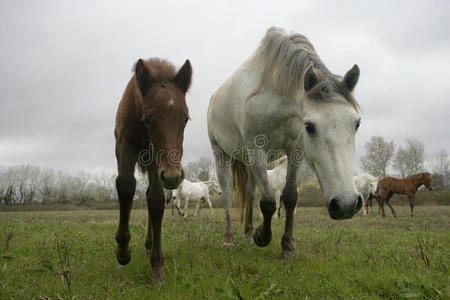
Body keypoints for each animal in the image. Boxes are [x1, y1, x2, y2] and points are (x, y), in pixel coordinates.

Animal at [114, 57, 192, 282]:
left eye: (186, 118)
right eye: (148, 118)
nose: (174, 177)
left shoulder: (158, 160)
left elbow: (156, 200)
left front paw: (157, 266)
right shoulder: (125, 145)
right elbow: (125, 187)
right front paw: (123, 251)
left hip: (152, 162)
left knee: (151, 193)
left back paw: (149, 245)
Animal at [208, 27, 362, 255]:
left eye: (357, 123)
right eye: (309, 126)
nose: (346, 204)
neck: (274, 95)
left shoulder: (295, 150)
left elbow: (290, 197)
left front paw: (288, 244)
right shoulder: (257, 150)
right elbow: (268, 202)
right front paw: (263, 236)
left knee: (250, 193)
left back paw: (248, 233)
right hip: (221, 154)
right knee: (227, 195)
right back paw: (229, 240)